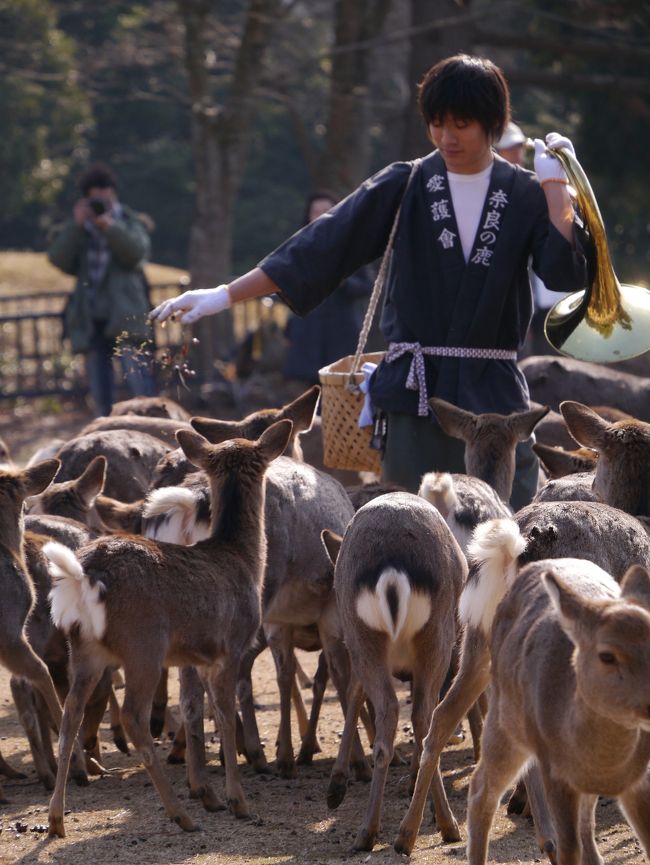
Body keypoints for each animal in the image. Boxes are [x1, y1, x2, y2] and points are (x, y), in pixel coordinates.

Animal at [43, 418, 292, 836]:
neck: (242, 558)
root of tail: (82, 575)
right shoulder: (230, 645)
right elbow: (225, 716)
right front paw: (237, 801)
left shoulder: (198, 656)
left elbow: (202, 710)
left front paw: (211, 793)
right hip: (143, 644)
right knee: (133, 716)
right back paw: (180, 814)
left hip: (84, 647)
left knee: (69, 715)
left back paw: (57, 819)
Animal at [320, 492, 466, 852]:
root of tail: (392, 567)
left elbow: (355, 694)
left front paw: (336, 787)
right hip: (437, 637)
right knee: (426, 719)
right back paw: (437, 826)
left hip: (364, 634)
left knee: (396, 713)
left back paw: (370, 832)